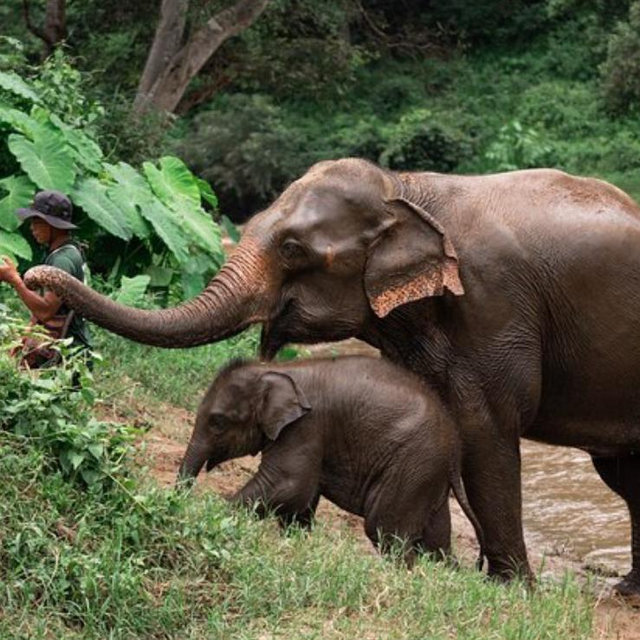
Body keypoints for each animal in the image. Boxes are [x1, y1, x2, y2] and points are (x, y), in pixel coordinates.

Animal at [178, 355, 485, 567]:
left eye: (218, 421)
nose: (180, 501)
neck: (277, 368)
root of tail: (455, 448)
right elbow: (300, 502)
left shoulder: (305, 428)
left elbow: (289, 485)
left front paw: (216, 511)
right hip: (428, 476)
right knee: (435, 543)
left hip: (412, 466)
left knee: (386, 531)